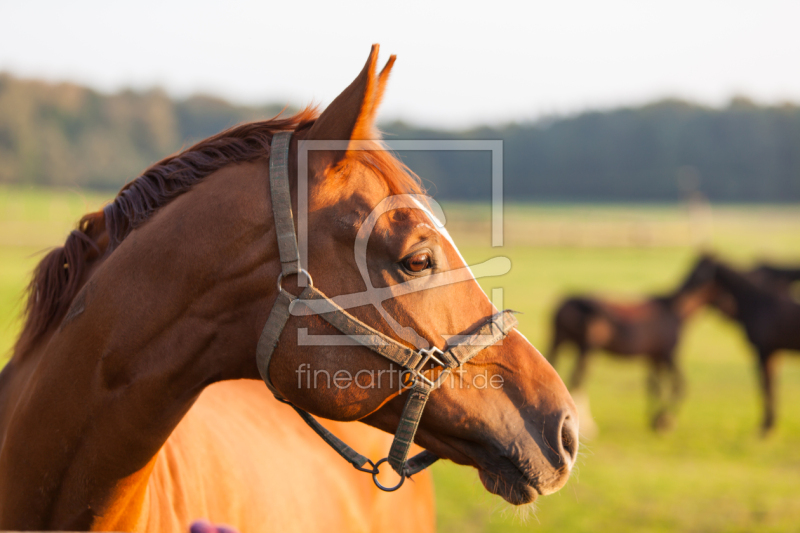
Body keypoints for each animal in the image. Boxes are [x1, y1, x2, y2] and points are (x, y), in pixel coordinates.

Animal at [548, 255, 716, 432]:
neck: (675, 310)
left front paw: (656, 419)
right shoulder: (668, 354)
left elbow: (654, 385)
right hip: (586, 348)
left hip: (560, 340)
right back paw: (587, 425)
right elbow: (678, 386)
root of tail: (565, 303)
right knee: (577, 378)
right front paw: (665, 420)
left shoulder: (655, 356)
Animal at [708, 256, 800, 432]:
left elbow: (766, 386)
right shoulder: (771, 353)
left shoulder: (764, 352)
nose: (726, 306)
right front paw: (768, 425)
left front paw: (766, 426)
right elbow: (769, 386)